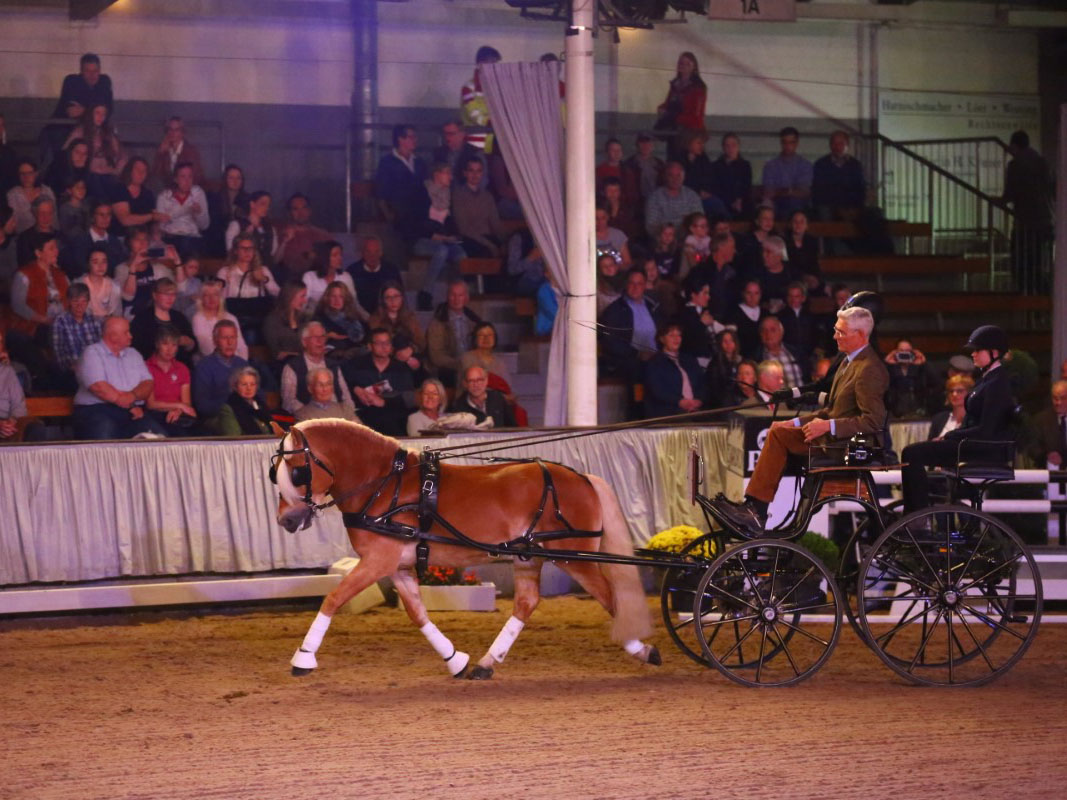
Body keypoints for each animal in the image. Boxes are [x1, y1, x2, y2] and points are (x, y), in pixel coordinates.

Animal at [273, 420, 657, 682]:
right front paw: (455, 660)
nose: (286, 521)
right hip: (528, 556)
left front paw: (303, 657)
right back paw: (486, 664)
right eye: (274, 473)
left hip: (572, 557)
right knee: (527, 603)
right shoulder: (397, 565)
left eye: (297, 471)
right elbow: (418, 614)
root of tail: (583, 479)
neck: (385, 486)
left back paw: (643, 649)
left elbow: (333, 599)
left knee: (611, 597)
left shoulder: (378, 561)